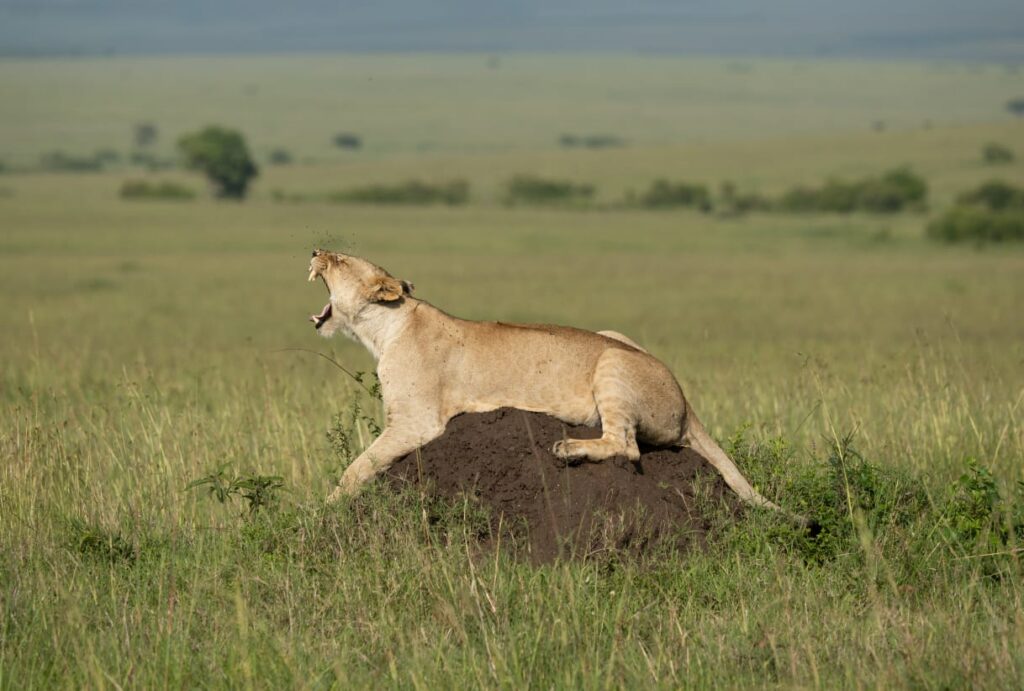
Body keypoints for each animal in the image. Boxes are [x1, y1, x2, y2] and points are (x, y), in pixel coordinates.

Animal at [307, 249, 798, 521]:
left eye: (341, 259)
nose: (314, 250)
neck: (385, 327)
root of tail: (685, 400)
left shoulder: (418, 422)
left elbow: (358, 465)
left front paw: (325, 507)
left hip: (613, 361)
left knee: (626, 446)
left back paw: (568, 448)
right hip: (614, 336)